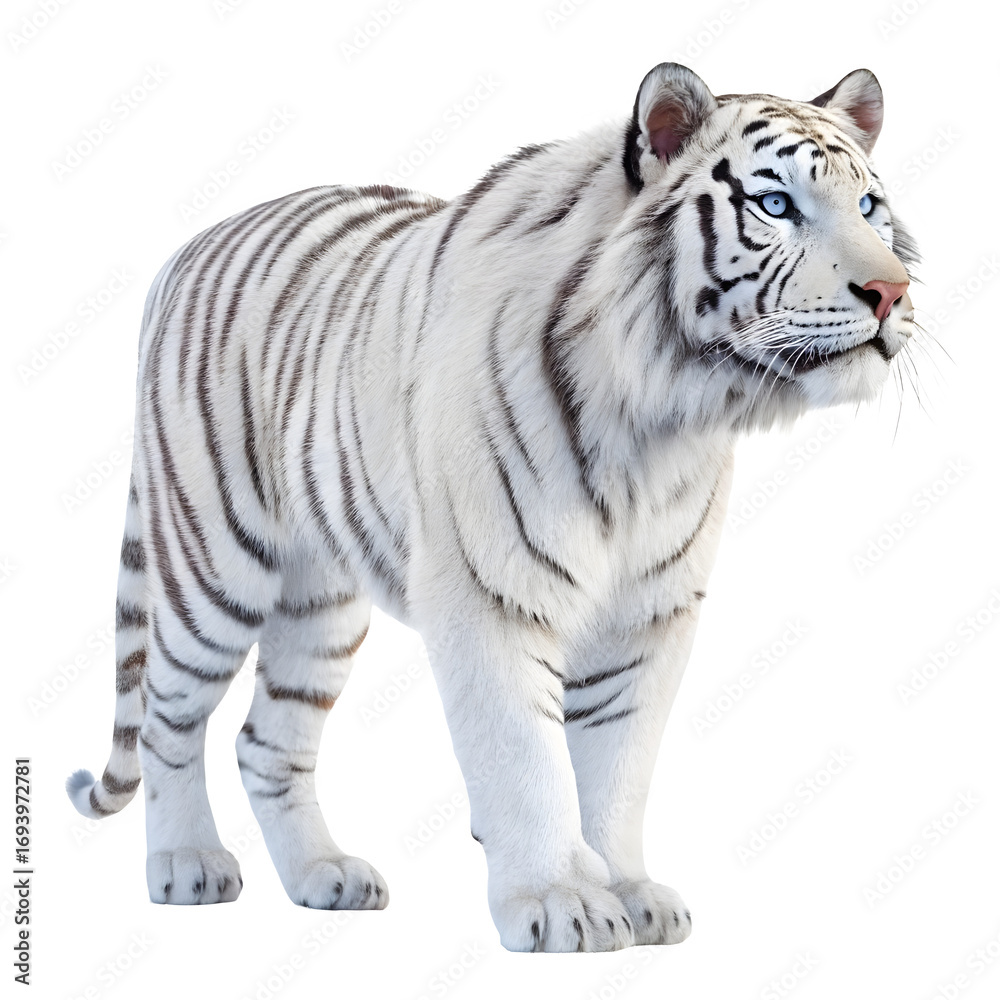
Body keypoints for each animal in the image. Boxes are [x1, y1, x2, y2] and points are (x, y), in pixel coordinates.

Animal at [67, 62, 917, 953]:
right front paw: (561, 901)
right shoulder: (491, 591)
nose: (891, 292)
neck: (663, 418)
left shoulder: (649, 614)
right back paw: (187, 864)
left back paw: (324, 876)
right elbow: (524, 758)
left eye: (869, 206)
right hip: (213, 567)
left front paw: (630, 892)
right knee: (165, 715)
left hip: (320, 599)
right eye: (777, 204)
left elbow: (618, 766)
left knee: (267, 741)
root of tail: (187, 249)